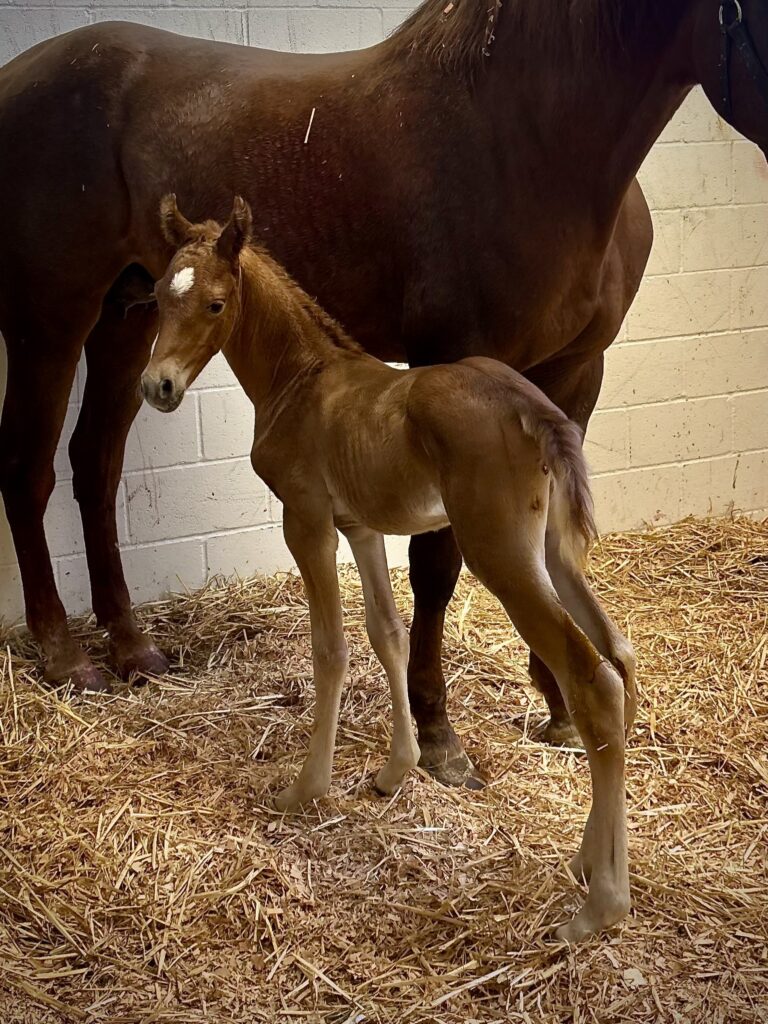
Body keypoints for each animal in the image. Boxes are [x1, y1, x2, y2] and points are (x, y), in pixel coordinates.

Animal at [0, 0, 765, 787]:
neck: (528, 141)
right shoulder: (456, 367)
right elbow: (435, 563)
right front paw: (436, 732)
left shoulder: (577, 373)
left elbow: (555, 540)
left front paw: (557, 704)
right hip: (49, 323)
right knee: (29, 469)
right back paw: (65, 656)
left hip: (127, 320)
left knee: (95, 464)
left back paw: (132, 648)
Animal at [141, 195, 638, 941]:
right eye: (157, 297)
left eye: (215, 303)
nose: (158, 386)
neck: (302, 378)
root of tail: (532, 407)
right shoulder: (362, 525)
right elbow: (387, 634)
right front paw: (394, 772)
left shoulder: (307, 519)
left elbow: (332, 648)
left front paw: (305, 788)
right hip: (554, 551)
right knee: (621, 655)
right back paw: (590, 864)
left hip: (500, 552)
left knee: (593, 682)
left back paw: (599, 908)